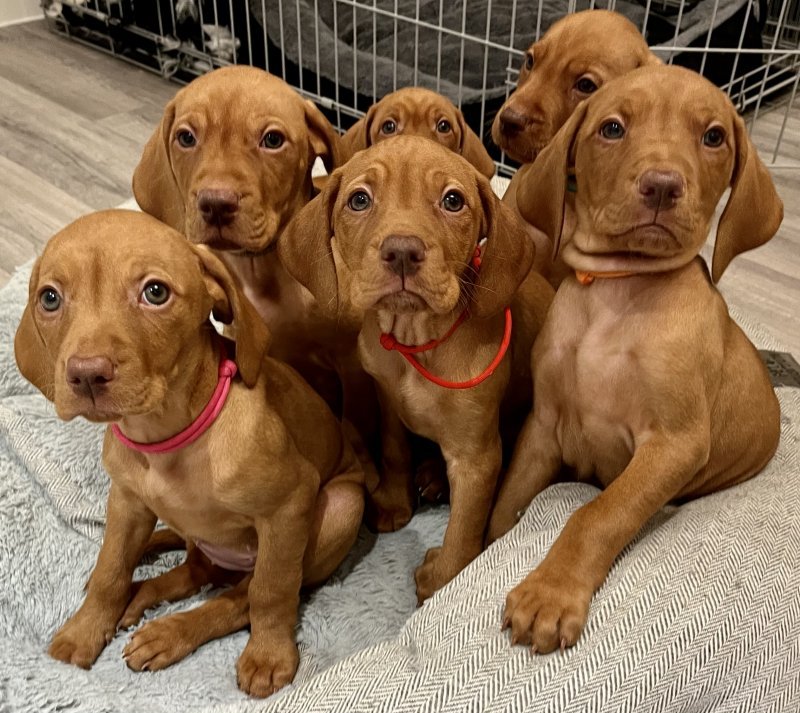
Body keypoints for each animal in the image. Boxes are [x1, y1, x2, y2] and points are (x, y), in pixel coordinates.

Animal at [16, 210, 366, 696]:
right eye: (50, 298)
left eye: (155, 292)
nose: (86, 375)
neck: (167, 438)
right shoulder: (126, 502)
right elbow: (109, 569)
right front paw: (84, 630)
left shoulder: (288, 507)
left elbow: (271, 592)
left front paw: (269, 655)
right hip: (194, 539)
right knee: (190, 571)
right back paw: (142, 592)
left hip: (341, 507)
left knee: (240, 596)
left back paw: (170, 632)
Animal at [278, 138, 552, 600]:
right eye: (359, 199)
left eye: (453, 200)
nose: (402, 251)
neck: (417, 341)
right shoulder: (388, 403)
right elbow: (395, 451)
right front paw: (395, 501)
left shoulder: (477, 456)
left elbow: (463, 528)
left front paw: (443, 583)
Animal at [488, 65, 780, 652]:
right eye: (612, 128)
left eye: (714, 136)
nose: (663, 185)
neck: (616, 291)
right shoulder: (544, 423)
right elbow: (508, 504)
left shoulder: (674, 444)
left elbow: (600, 512)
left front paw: (550, 593)